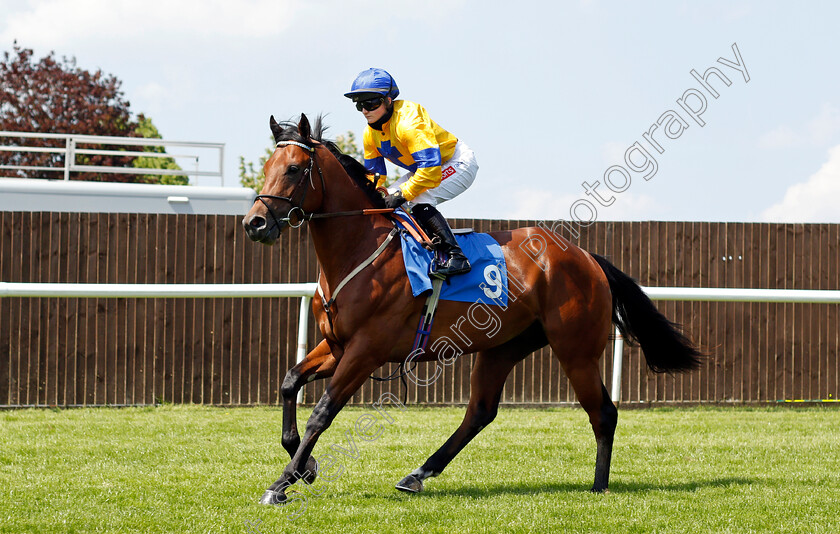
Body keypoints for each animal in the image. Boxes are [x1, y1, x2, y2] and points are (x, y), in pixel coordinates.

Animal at [243, 113, 704, 506]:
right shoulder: (337, 344)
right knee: (480, 412)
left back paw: (599, 485)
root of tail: (586, 257)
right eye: (267, 165)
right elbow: (289, 382)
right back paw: (417, 475)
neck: (359, 250)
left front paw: (281, 484)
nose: (255, 223)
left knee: (603, 412)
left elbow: (322, 413)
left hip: (576, 349)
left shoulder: (366, 349)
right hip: (503, 346)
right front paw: (305, 466)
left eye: (295, 169)